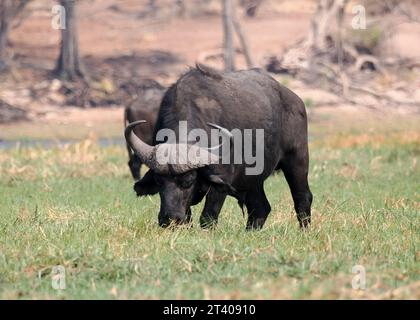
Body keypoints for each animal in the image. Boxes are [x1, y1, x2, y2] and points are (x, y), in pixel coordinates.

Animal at [124, 64, 312, 230]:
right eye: (158, 181)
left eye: (189, 180)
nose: (170, 219)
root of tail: (296, 101)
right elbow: (189, 217)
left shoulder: (220, 184)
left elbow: (208, 218)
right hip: (252, 179)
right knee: (260, 208)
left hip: (297, 159)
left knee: (302, 198)